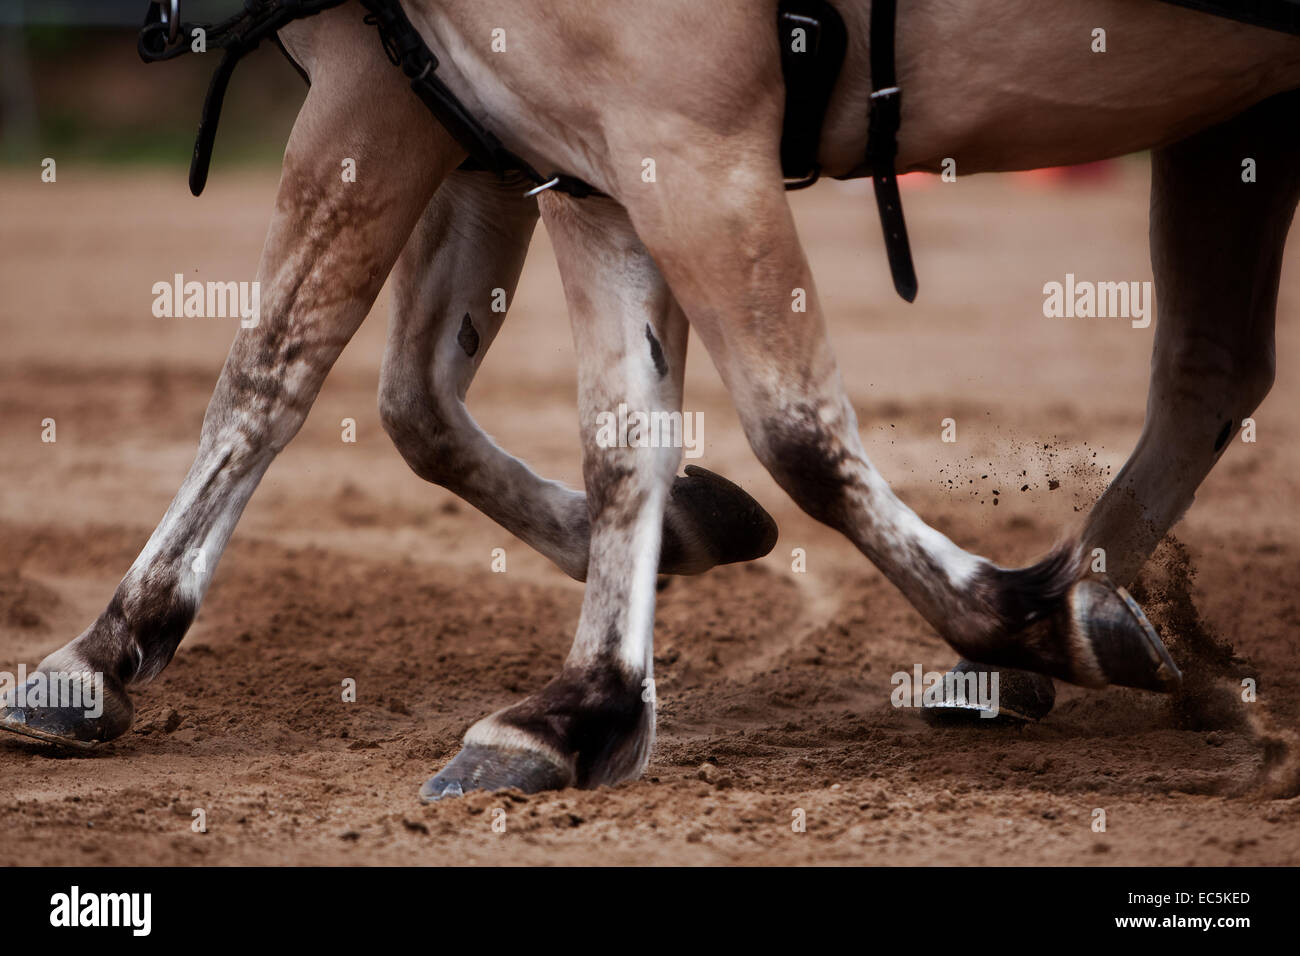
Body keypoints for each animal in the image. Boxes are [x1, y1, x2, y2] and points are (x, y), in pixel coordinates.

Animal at [3, 0, 1298, 803]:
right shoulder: (533, 134)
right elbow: (380, 388)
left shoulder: (664, 138)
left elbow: (791, 429)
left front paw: (1017, 613)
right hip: (1233, 116)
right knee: (1209, 369)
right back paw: (1074, 621)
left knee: (1202, 372)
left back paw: (1063, 621)